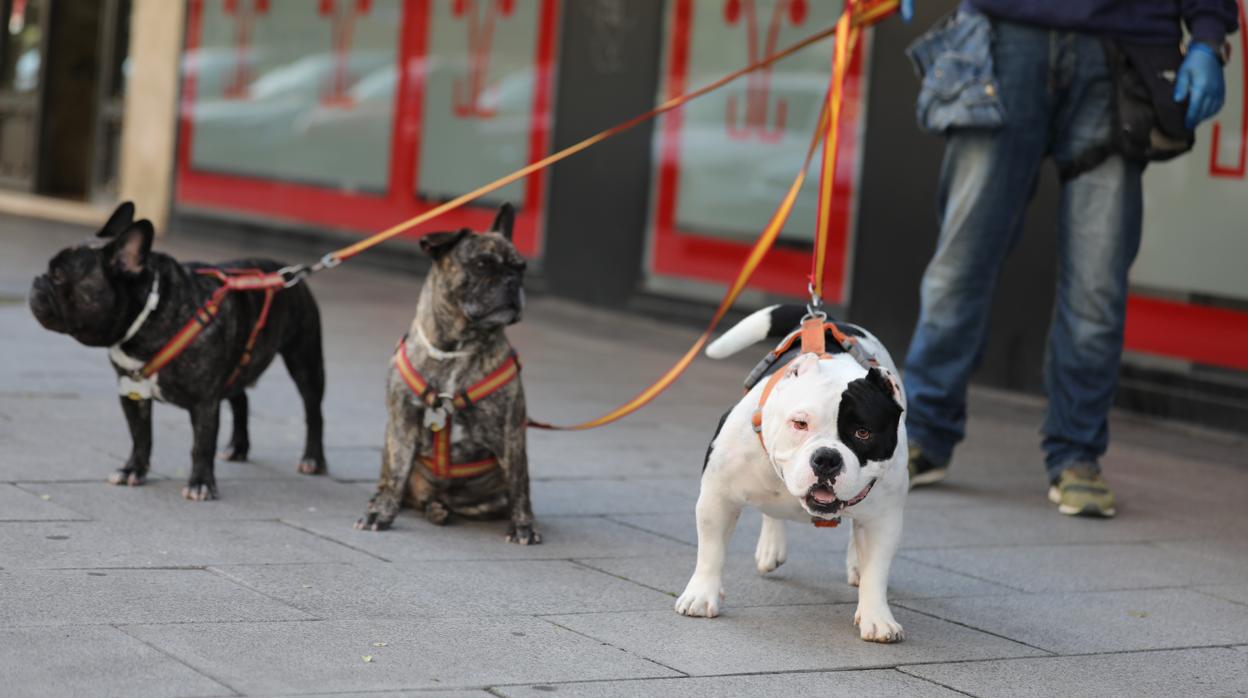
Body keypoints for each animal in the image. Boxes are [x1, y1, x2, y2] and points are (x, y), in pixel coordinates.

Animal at [29, 203, 331, 501]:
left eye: (58, 275)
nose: (37, 280)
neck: (150, 313)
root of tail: (287, 273)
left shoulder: (204, 402)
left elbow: (201, 445)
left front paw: (200, 483)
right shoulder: (131, 392)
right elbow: (140, 435)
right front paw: (132, 470)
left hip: (304, 362)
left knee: (313, 411)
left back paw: (313, 459)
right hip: (237, 365)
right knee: (241, 399)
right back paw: (238, 447)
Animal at [356, 204, 541, 544]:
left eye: (521, 268)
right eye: (482, 264)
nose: (513, 281)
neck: (457, 348)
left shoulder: (511, 432)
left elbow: (520, 484)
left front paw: (523, 525)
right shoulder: (402, 422)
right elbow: (396, 473)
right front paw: (382, 512)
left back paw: (440, 510)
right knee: (401, 486)